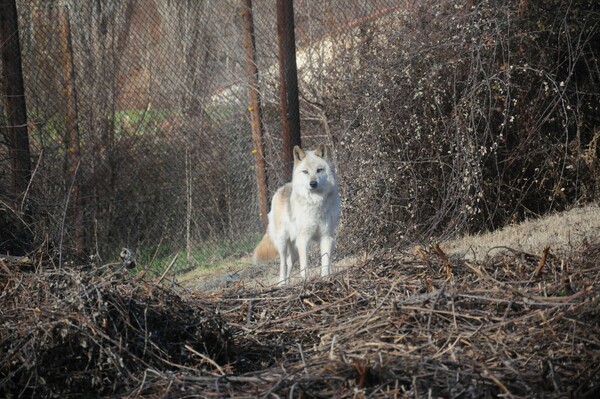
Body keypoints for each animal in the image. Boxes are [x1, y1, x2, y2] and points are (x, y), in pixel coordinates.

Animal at [251, 145, 340, 286]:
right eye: (305, 172)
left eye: (319, 170)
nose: (313, 183)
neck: (315, 203)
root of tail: (281, 189)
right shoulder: (304, 239)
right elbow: (305, 266)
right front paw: (305, 282)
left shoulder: (327, 237)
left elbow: (325, 263)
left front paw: (326, 279)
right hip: (283, 242)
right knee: (283, 263)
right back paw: (281, 284)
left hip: (294, 250)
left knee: (289, 262)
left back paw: (287, 283)